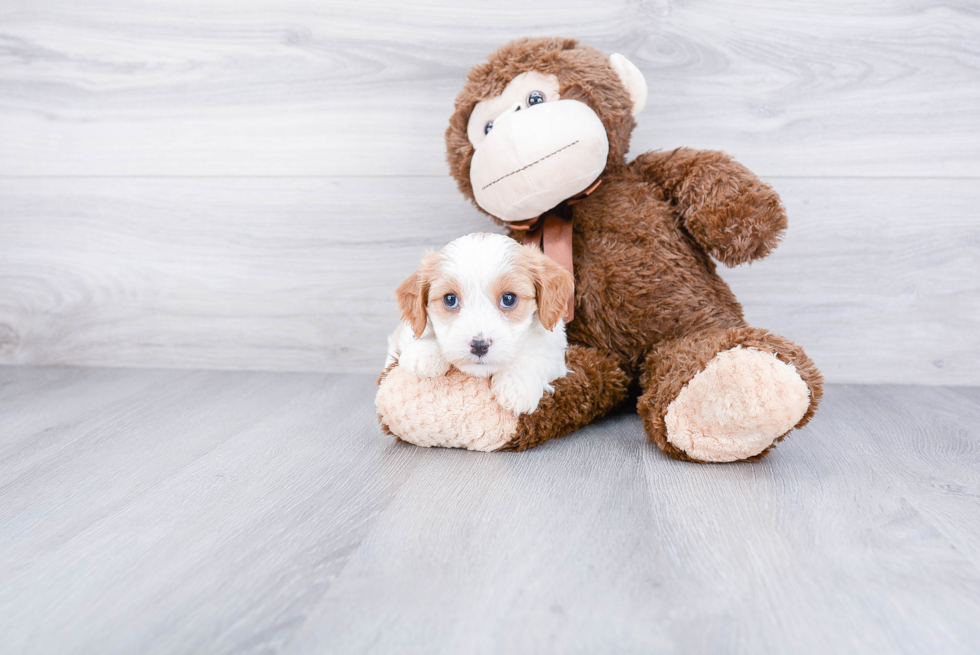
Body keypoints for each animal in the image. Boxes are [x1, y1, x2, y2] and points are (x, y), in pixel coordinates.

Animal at [386, 232, 576, 416]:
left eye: (509, 298)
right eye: (450, 299)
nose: (479, 345)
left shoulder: (555, 350)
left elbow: (537, 356)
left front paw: (517, 384)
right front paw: (424, 352)